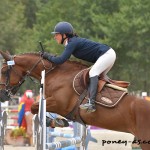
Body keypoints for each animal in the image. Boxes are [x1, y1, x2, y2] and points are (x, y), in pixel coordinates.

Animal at [0, 49, 150, 149]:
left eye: (3, 71)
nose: (2, 95)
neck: (55, 74)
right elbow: (36, 108)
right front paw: (57, 121)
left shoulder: (59, 103)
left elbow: (34, 107)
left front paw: (54, 121)